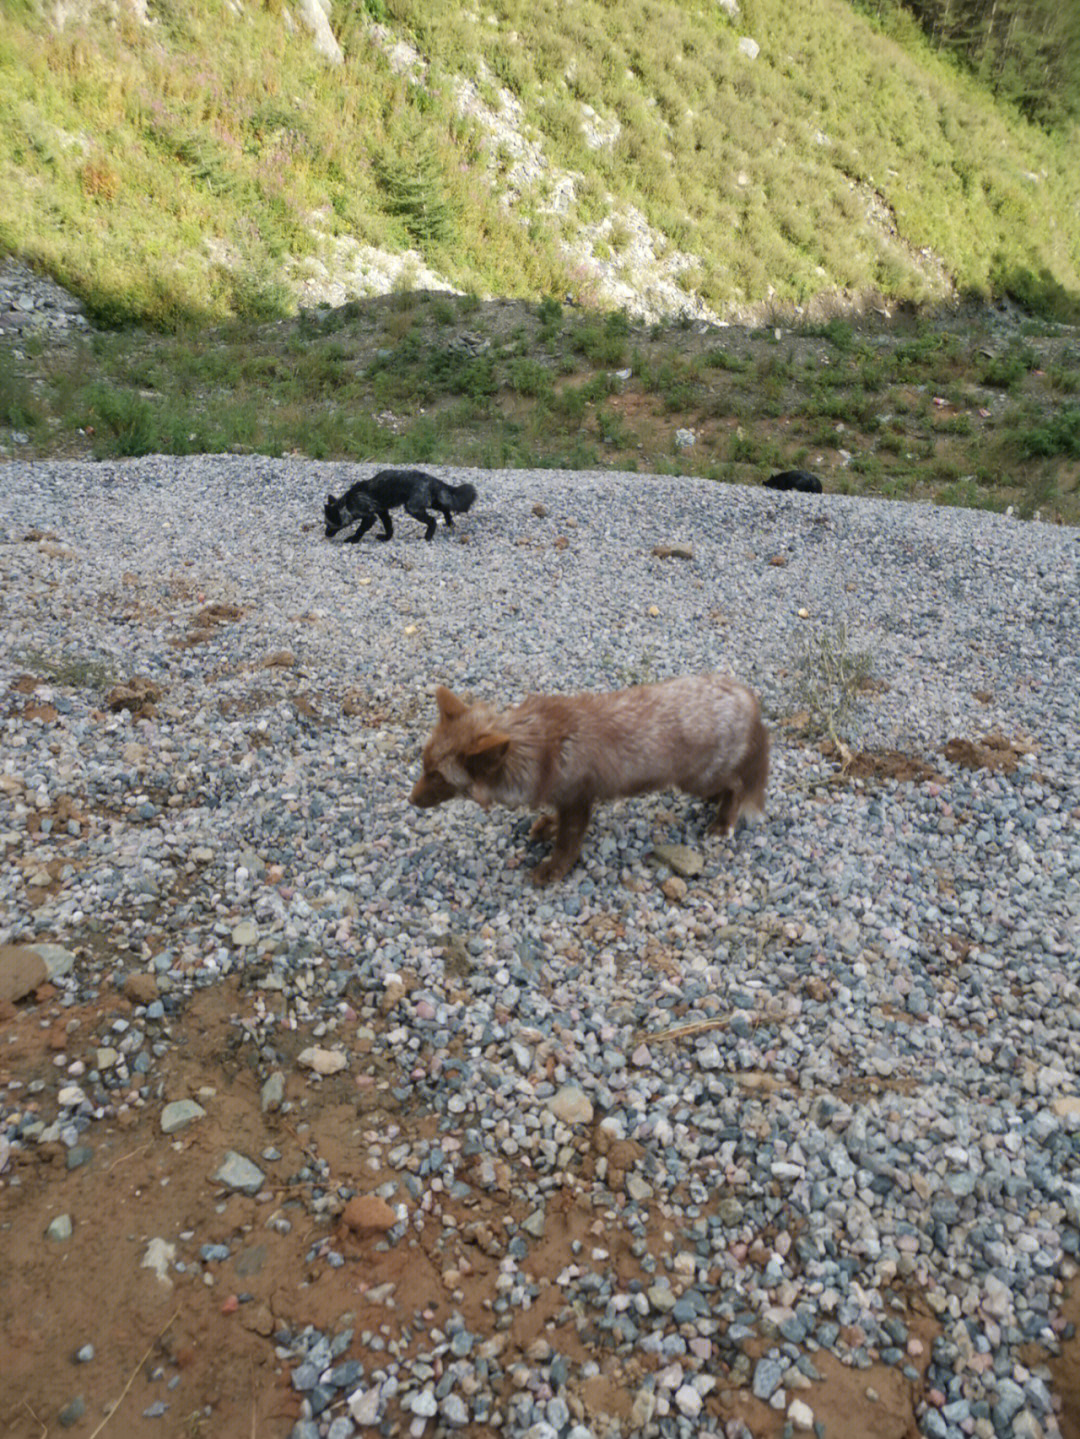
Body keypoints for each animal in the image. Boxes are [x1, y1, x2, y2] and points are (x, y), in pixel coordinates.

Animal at [323, 469, 480, 541]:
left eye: (329, 525)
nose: (326, 534)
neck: (348, 502)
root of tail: (430, 478)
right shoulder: (382, 511)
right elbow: (388, 526)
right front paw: (387, 538)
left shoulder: (369, 517)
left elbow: (360, 530)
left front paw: (353, 540)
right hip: (430, 502)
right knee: (445, 507)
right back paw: (449, 522)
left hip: (413, 508)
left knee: (433, 520)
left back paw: (427, 537)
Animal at [408, 673, 770, 886]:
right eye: (424, 766)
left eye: (437, 776)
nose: (410, 800)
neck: (537, 749)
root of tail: (745, 694)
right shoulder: (565, 799)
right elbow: (556, 825)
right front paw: (546, 827)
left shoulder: (578, 800)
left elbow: (567, 845)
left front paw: (552, 871)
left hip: (695, 779)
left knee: (737, 786)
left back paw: (723, 823)